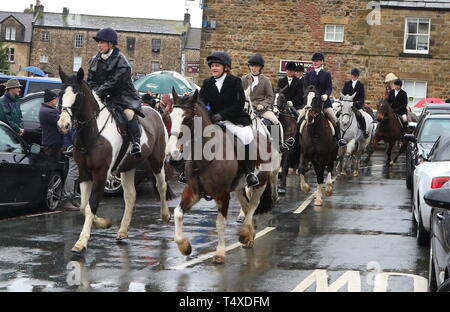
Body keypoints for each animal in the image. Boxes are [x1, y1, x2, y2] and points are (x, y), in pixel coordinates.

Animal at [56, 66, 172, 254]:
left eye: (78, 95)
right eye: (60, 94)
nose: (63, 125)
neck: (92, 132)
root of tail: (156, 111)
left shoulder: (101, 173)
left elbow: (91, 204)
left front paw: (81, 242)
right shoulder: (84, 172)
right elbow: (83, 206)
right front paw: (103, 223)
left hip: (157, 161)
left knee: (161, 186)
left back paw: (165, 215)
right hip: (127, 167)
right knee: (131, 195)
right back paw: (122, 231)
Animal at [165, 90, 270, 264]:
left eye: (187, 119)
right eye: (169, 117)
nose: (171, 156)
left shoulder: (222, 193)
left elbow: (220, 223)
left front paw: (220, 253)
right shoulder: (193, 191)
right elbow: (178, 213)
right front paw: (184, 246)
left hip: (261, 180)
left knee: (254, 204)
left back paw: (245, 233)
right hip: (239, 186)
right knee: (246, 205)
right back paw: (248, 235)